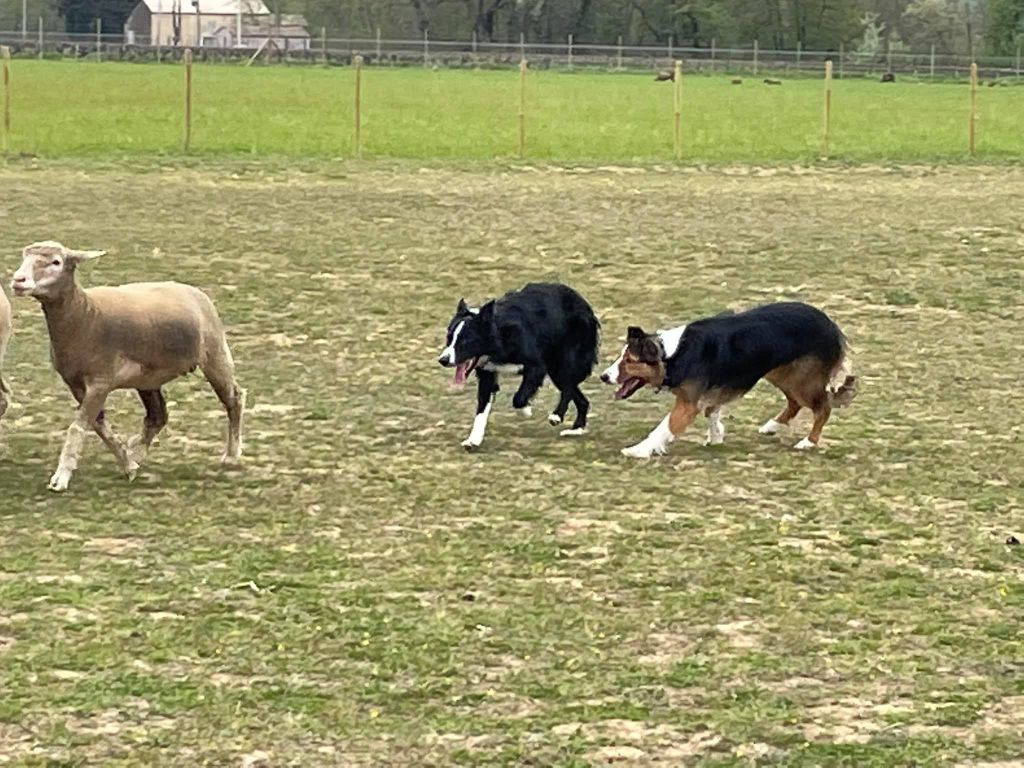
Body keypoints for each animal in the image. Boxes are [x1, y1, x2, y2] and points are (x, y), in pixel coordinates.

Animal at [9, 240, 243, 493]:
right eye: (24, 257)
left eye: (56, 261)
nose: (18, 280)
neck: (84, 315)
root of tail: (194, 291)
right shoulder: (75, 384)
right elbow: (99, 425)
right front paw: (128, 463)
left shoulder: (100, 381)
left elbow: (78, 427)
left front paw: (60, 477)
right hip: (148, 378)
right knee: (157, 416)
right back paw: (137, 453)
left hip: (215, 354)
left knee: (234, 399)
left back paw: (231, 456)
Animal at [438, 282, 598, 450]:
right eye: (449, 337)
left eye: (466, 341)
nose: (443, 360)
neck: (499, 335)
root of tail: (582, 302)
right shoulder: (488, 374)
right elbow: (481, 410)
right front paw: (473, 440)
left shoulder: (537, 367)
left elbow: (518, 399)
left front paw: (526, 409)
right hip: (556, 370)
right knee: (580, 397)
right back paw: (577, 428)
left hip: (564, 363)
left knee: (568, 388)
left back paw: (557, 416)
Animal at [598, 303, 856, 456]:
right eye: (622, 357)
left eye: (629, 360)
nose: (603, 376)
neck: (671, 354)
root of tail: (831, 325)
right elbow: (711, 411)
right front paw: (716, 436)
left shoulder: (687, 404)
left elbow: (666, 426)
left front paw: (638, 449)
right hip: (782, 374)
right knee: (795, 403)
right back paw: (771, 426)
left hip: (802, 380)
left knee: (822, 408)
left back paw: (808, 441)